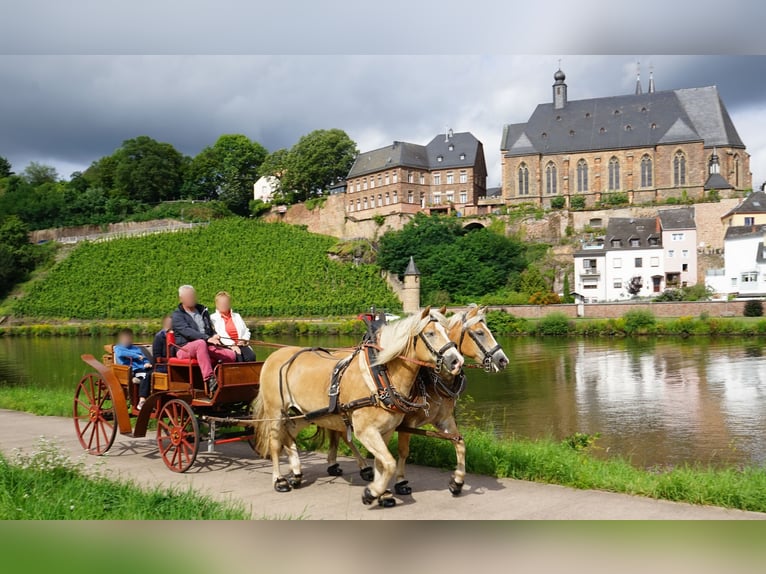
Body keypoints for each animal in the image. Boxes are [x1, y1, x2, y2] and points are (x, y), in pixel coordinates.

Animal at [252, 308, 462, 510]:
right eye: (430, 333)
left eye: (448, 331)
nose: (457, 361)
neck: (381, 375)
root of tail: (275, 355)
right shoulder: (366, 430)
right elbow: (390, 462)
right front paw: (372, 492)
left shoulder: (386, 430)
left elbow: (382, 463)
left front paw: (383, 494)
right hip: (275, 412)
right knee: (275, 442)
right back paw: (279, 480)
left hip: (306, 414)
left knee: (290, 432)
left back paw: (296, 471)